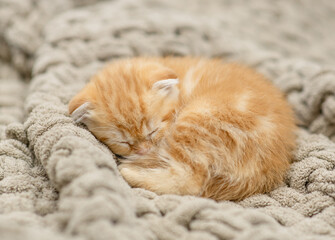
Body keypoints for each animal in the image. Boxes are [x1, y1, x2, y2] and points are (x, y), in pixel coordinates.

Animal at [68, 57, 296, 202]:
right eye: (123, 142)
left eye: (153, 131)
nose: (142, 151)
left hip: (199, 118)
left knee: (188, 181)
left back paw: (129, 172)